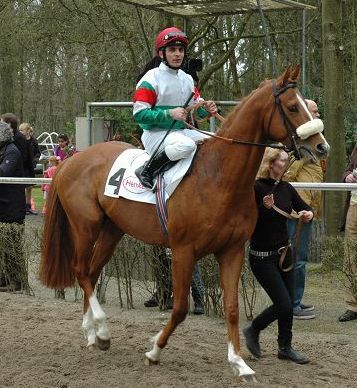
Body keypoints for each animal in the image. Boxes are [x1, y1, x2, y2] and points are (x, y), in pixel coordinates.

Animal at [39, 66, 328, 378]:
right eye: (292, 107)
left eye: (307, 103)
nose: (322, 147)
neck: (219, 177)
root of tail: (72, 161)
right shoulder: (182, 251)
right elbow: (178, 308)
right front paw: (154, 350)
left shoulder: (232, 251)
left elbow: (231, 307)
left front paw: (239, 363)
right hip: (86, 227)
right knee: (81, 271)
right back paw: (102, 330)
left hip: (111, 231)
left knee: (91, 274)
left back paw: (92, 334)